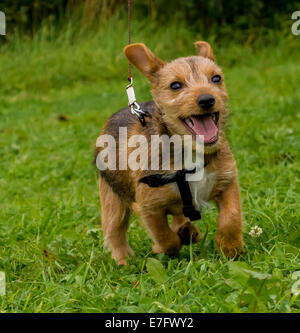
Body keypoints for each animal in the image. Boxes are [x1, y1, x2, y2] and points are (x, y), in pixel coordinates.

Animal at [96, 42, 244, 264]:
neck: (190, 151)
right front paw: (164, 247)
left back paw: (188, 231)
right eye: (175, 85)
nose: (207, 99)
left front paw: (230, 247)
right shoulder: (148, 207)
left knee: (179, 215)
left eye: (216, 78)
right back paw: (124, 260)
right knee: (115, 231)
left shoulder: (227, 182)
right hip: (113, 199)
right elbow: (164, 236)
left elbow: (231, 216)